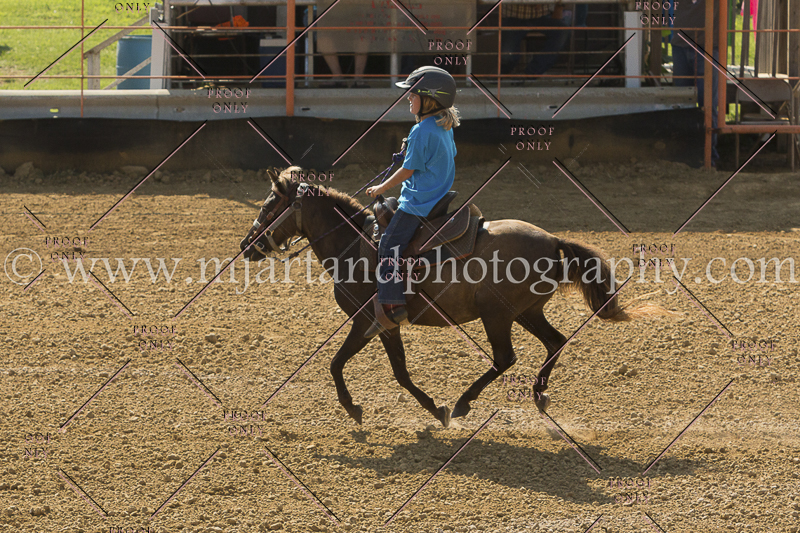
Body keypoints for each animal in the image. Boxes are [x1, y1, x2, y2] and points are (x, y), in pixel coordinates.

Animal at [240, 167, 658, 428]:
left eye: (267, 207)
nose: (246, 245)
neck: (352, 243)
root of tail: (553, 240)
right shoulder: (387, 323)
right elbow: (400, 372)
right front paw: (432, 408)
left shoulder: (365, 320)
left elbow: (336, 364)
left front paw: (354, 408)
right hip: (527, 311)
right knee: (555, 341)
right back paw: (538, 393)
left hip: (497, 315)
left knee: (505, 358)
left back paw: (464, 402)